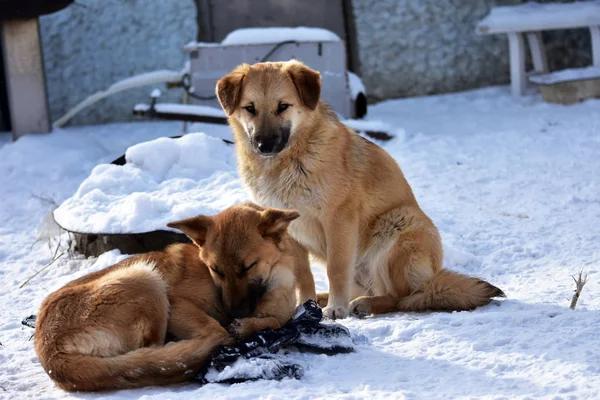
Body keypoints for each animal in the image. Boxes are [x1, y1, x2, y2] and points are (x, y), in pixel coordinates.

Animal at [34, 203, 314, 390]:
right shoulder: (177, 303)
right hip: (146, 280)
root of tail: (50, 351)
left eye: (248, 267)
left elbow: (276, 321)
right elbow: (232, 326)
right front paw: (244, 328)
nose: (234, 312)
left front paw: (251, 325)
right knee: (173, 349)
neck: (274, 284)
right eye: (215, 270)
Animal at [216, 60, 506, 318]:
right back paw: (328, 298)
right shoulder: (291, 232)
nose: (263, 145)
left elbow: (336, 269)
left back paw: (365, 303)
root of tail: (431, 279)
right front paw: (305, 306)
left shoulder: (338, 219)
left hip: (398, 228)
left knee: (403, 297)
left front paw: (336, 309)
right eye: (250, 108)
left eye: (283, 106)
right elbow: (303, 276)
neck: (289, 161)